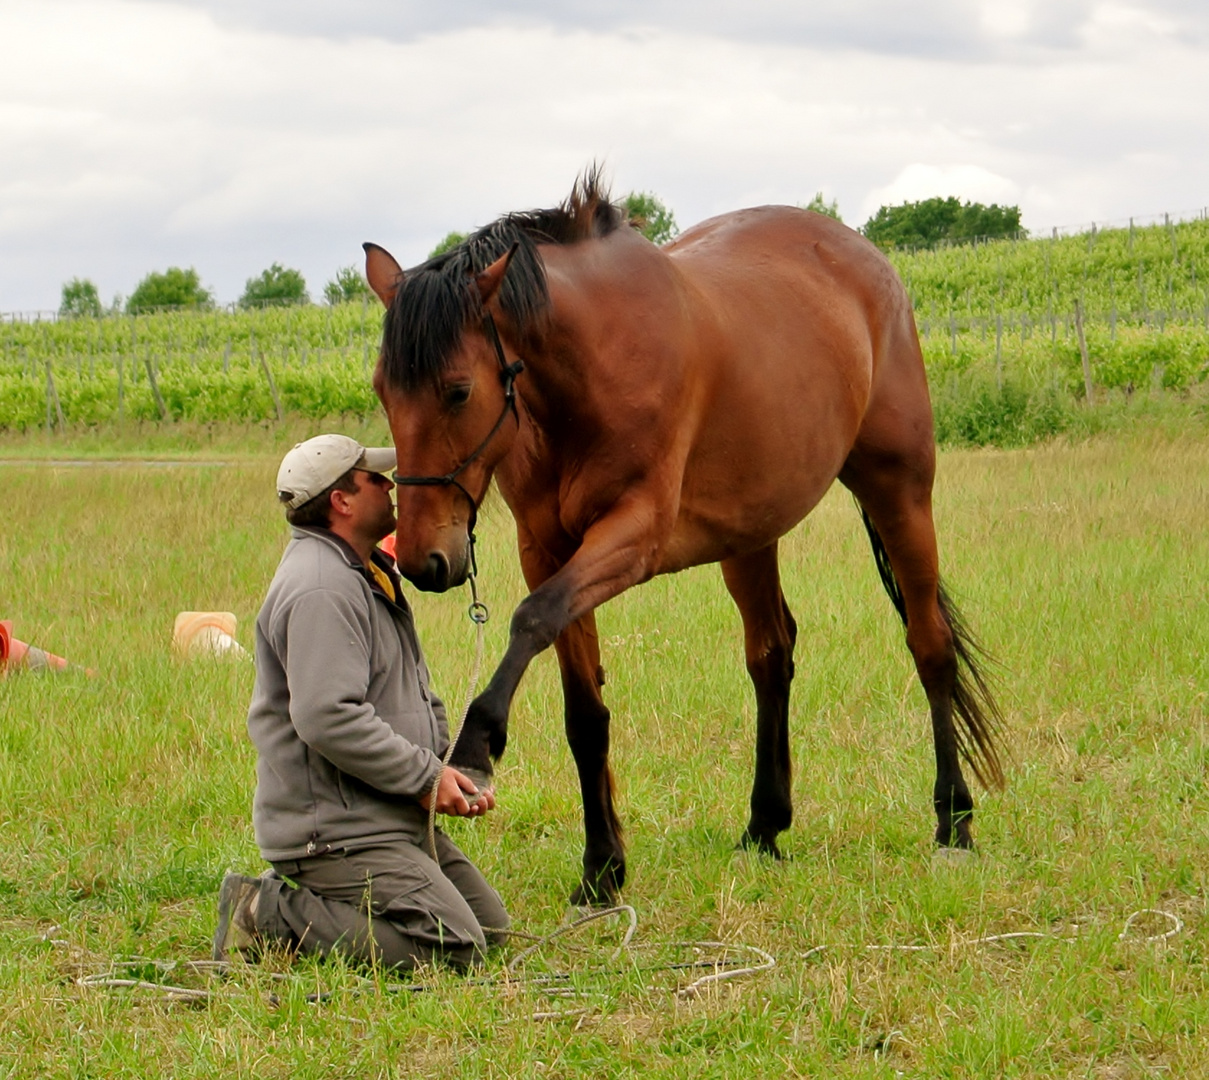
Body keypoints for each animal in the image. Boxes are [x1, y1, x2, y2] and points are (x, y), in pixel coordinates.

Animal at [362, 172, 1005, 904]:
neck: (591, 368)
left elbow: (530, 620)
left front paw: (476, 745)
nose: (423, 560)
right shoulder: (546, 551)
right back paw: (764, 827)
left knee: (929, 645)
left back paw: (953, 822)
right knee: (771, 655)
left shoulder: (634, 536)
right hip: (750, 533)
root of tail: (866, 258)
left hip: (898, 492)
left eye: (458, 391)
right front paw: (602, 868)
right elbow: (583, 712)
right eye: (383, 390)